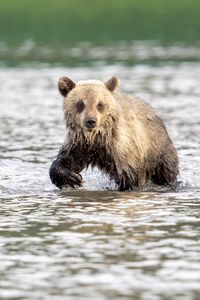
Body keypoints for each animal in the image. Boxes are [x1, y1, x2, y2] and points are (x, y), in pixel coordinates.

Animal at [49, 77, 179, 190]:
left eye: (100, 104)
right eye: (80, 104)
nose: (91, 121)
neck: (97, 137)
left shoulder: (122, 149)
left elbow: (130, 176)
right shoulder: (80, 144)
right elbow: (68, 159)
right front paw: (71, 178)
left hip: (157, 150)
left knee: (166, 171)